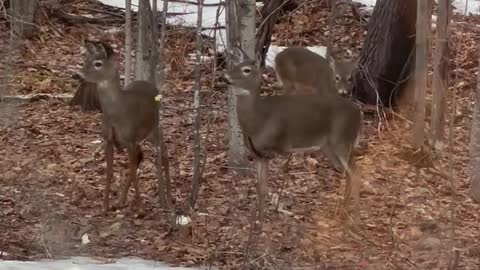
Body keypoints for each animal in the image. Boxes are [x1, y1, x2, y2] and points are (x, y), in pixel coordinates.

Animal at [73, 40, 159, 213]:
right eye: (86, 60)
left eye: (98, 63)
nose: (76, 75)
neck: (117, 113)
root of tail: (150, 84)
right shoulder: (109, 139)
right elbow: (109, 171)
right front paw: (105, 206)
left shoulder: (130, 139)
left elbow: (132, 170)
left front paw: (141, 209)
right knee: (141, 156)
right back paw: (121, 200)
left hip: (154, 129)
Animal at [223, 47, 362, 223]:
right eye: (237, 64)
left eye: (246, 69)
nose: (225, 76)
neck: (257, 119)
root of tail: (358, 112)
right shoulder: (258, 155)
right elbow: (261, 188)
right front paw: (258, 222)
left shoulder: (272, 151)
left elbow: (265, 186)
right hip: (329, 147)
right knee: (348, 174)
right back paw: (342, 213)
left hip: (342, 141)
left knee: (356, 173)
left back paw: (354, 218)